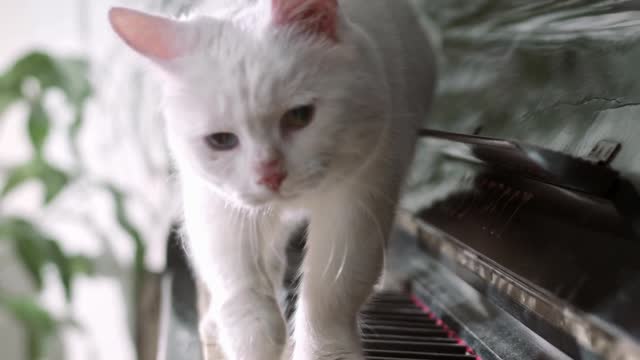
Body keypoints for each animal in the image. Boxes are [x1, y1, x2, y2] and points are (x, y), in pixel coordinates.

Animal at [110, 1, 438, 358]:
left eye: (300, 116)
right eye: (221, 141)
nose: (270, 174)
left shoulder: (362, 195)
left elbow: (331, 293)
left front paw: (326, 350)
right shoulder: (216, 204)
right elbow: (243, 294)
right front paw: (254, 342)